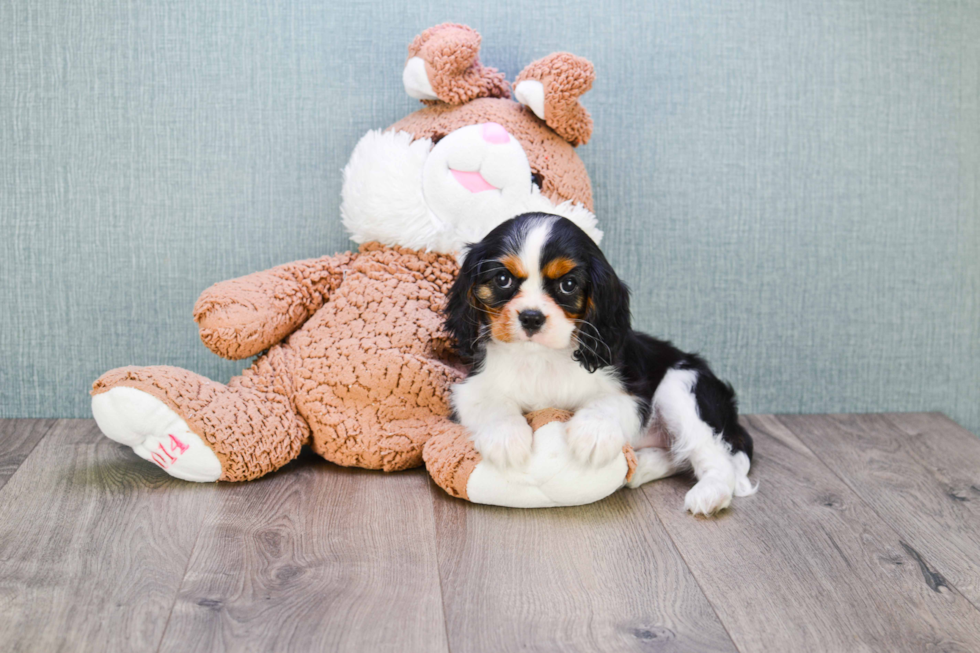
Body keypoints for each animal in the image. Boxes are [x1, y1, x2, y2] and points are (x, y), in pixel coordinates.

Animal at [444, 211, 756, 512]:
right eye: (502, 280)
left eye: (568, 285)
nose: (532, 317)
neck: (541, 357)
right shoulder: (469, 389)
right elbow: (492, 404)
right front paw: (506, 438)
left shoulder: (631, 391)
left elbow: (606, 402)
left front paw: (592, 434)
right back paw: (642, 467)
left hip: (681, 386)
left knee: (714, 457)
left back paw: (710, 494)